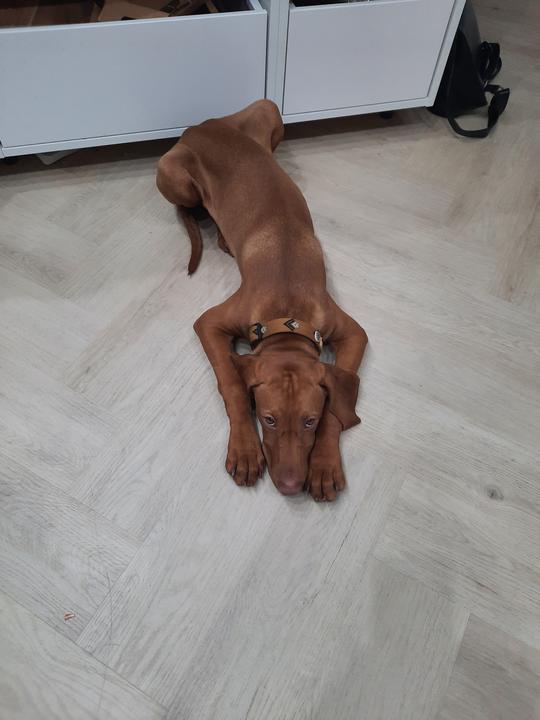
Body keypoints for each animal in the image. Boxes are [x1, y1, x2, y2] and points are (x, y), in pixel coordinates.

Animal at [156, 100, 367, 501]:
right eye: (267, 419)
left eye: (310, 421)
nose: (289, 486)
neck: (287, 314)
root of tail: (199, 126)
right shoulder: (209, 322)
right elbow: (234, 386)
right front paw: (244, 450)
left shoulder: (353, 333)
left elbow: (338, 408)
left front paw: (325, 465)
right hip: (174, 177)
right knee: (187, 209)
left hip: (269, 111)